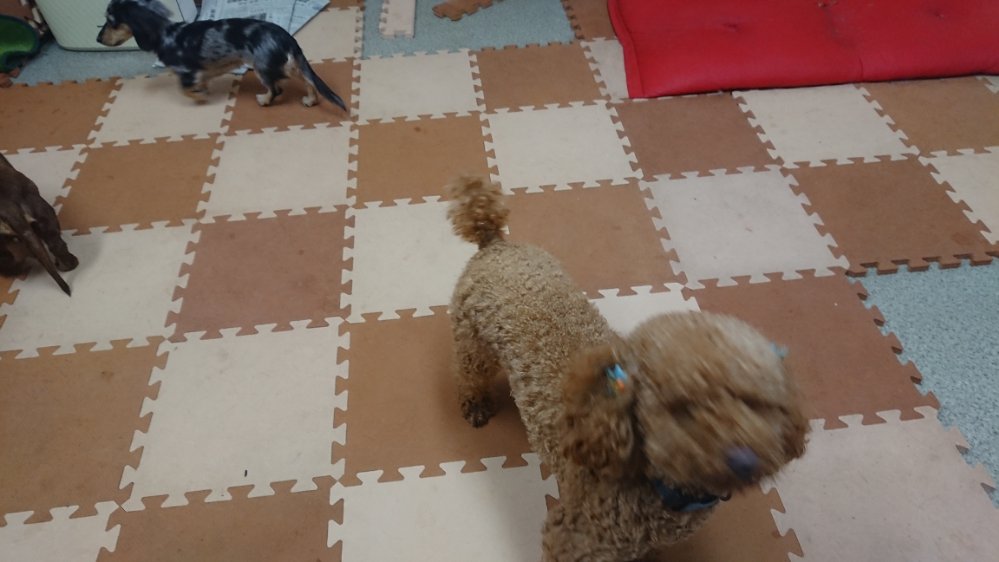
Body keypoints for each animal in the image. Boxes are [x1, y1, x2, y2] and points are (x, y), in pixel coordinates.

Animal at [97, 0, 348, 111]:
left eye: (111, 22)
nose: (98, 39)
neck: (166, 34)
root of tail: (288, 38)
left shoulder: (186, 73)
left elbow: (184, 91)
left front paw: (201, 97)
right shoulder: (199, 73)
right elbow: (199, 83)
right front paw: (203, 91)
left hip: (261, 66)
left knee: (277, 89)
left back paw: (264, 100)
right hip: (284, 64)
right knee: (308, 82)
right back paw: (310, 100)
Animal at [446, 177, 809, 561]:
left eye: (754, 402)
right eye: (680, 409)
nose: (743, 461)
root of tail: (494, 242)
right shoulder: (573, 537)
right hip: (473, 342)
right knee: (470, 375)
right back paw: (476, 404)